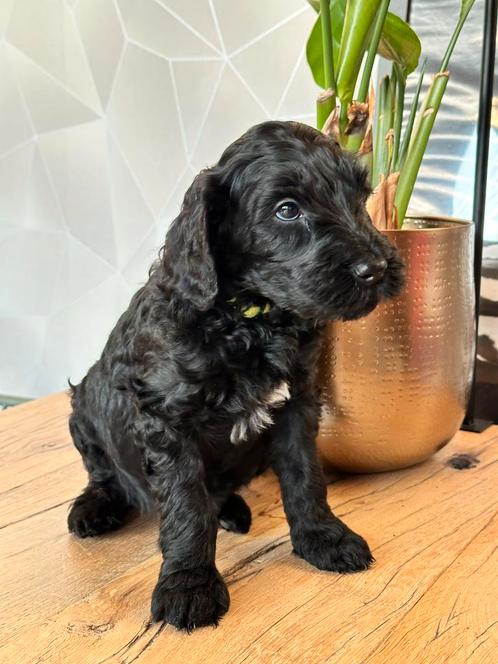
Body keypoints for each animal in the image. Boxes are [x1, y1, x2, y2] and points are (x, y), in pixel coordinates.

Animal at [68, 120, 402, 632]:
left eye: (359, 197)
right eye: (287, 210)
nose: (378, 268)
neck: (249, 318)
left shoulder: (297, 404)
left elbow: (305, 475)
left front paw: (322, 538)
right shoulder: (166, 420)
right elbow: (186, 502)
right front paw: (189, 585)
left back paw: (231, 510)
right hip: (83, 408)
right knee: (104, 472)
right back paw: (93, 508)